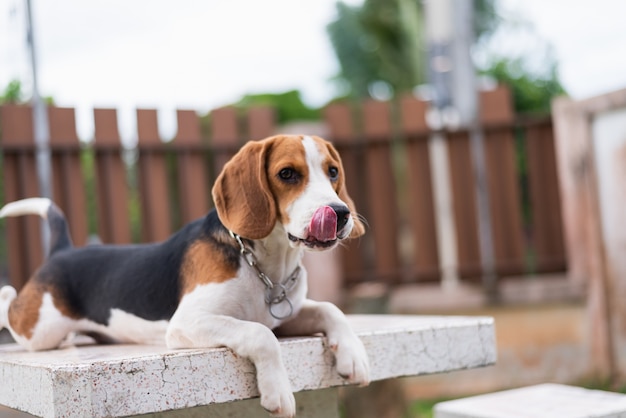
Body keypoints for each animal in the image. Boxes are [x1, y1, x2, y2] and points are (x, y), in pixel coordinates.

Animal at [0, 135, 368, 418]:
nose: (340, 213)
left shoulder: (284, 316)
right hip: (39, 329)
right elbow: (260, 334)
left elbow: (330, 309)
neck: (266, 265)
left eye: (333, 172)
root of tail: (62, 250)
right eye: (287, 173)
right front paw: (277, 391)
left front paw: (353, 355)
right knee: (9, 306)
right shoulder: (188, 322)